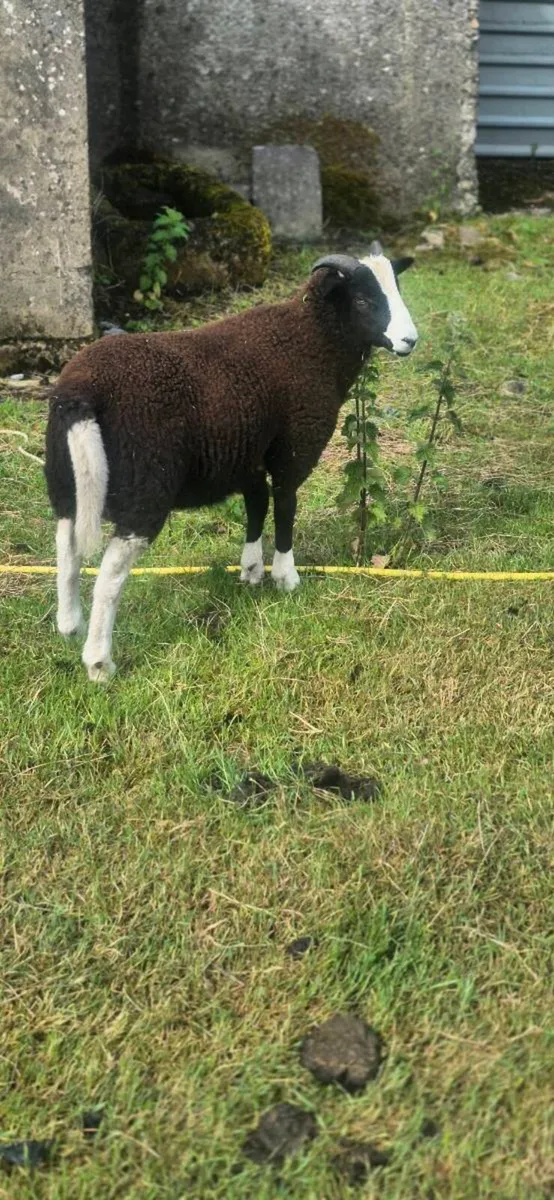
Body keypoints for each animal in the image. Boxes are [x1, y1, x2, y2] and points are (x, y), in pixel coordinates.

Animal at [45, 241, 418, 682]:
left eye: (396, 288)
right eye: (362, 299)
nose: (410, 340)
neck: (310, 338)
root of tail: (80, 392)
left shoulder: (249, 455)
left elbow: (257, 506)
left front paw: (251, 570)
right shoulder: (295, 446)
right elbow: (285, 506)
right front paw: (286, 577)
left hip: (65, 479)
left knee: (66, 549)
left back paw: (69, 625)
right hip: (145, 486)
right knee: (109, 576)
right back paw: (99, 662)